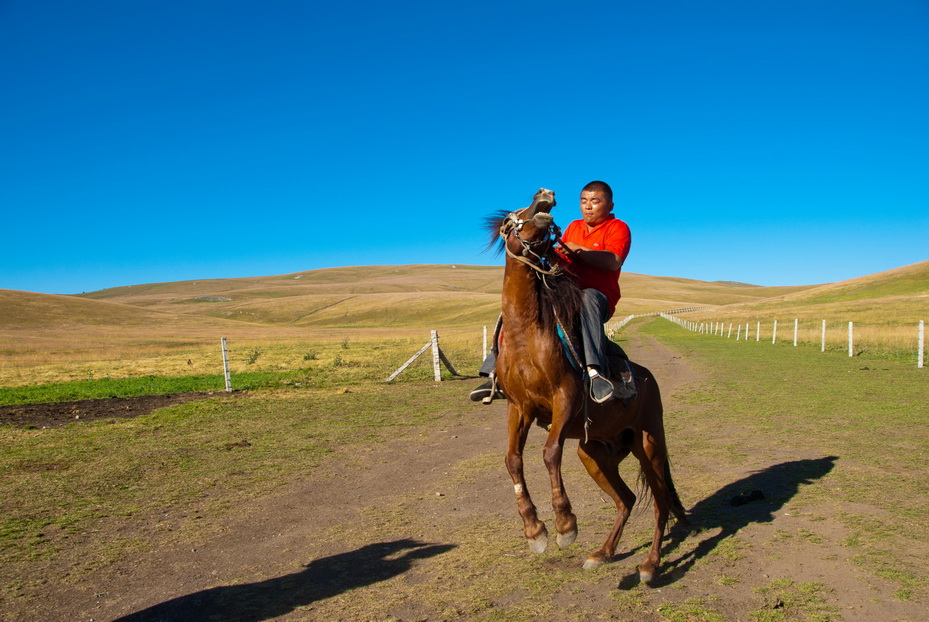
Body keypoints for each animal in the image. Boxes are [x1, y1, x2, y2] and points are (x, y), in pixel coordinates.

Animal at [490, 189, 684, 584]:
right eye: (510, 218)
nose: (544, 197)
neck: (525, 336)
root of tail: (647, 378)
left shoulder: (564, 399)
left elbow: (549, 453)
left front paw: (564, 524)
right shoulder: (519, 408)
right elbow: (513, 460)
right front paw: (534, 529)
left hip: (649, 445)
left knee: (660, 503)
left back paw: (650, 565)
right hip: (593, 452)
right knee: (626, 499)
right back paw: (603, 553)